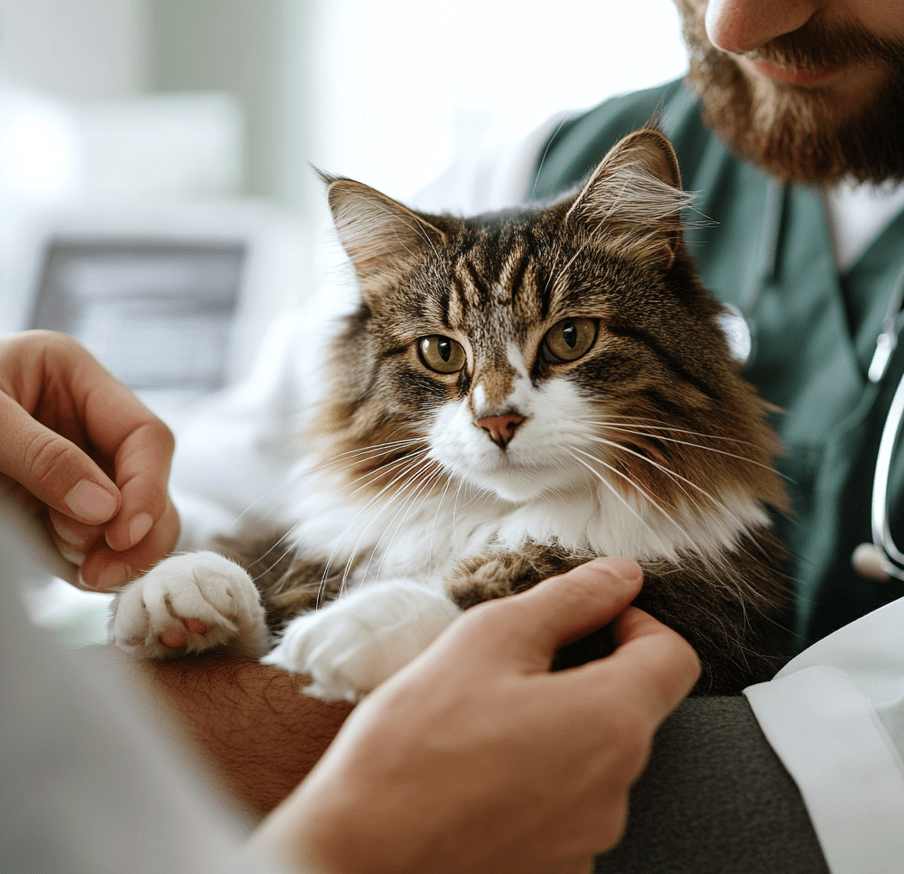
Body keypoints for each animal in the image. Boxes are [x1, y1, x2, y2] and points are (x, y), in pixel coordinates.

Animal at [111, 126, 792, 700]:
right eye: (441, 351)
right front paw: (187, 587)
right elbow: (263, 598)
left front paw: (357, 628)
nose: (496, 421)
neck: (491, 519)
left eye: (570, 338)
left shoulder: (706, 623)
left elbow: (491, 600)